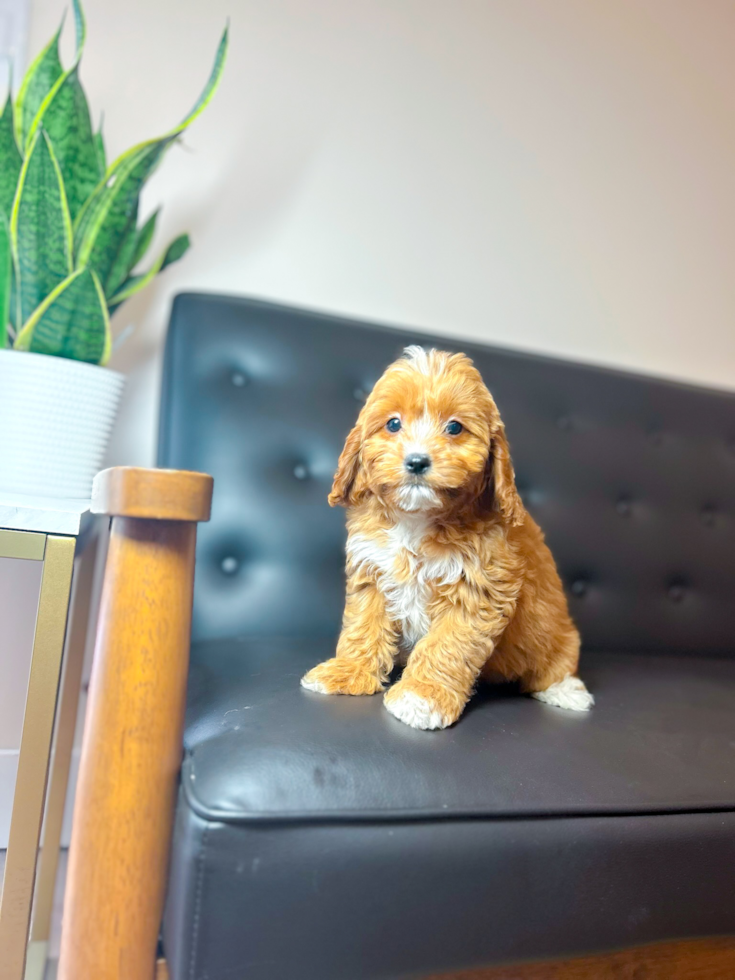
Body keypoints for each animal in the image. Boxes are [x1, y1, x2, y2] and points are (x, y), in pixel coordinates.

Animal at [302, 344, 596, 728]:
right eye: (393, 423)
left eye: (454, 427)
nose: (416, 461)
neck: (417, 518)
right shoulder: (372, 573)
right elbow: (363, 625)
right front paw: (348, 672)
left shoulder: (476, 589)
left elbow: (447, 645)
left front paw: (421, 697)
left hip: (556, 633)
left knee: (557, 661)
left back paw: (566, 690)